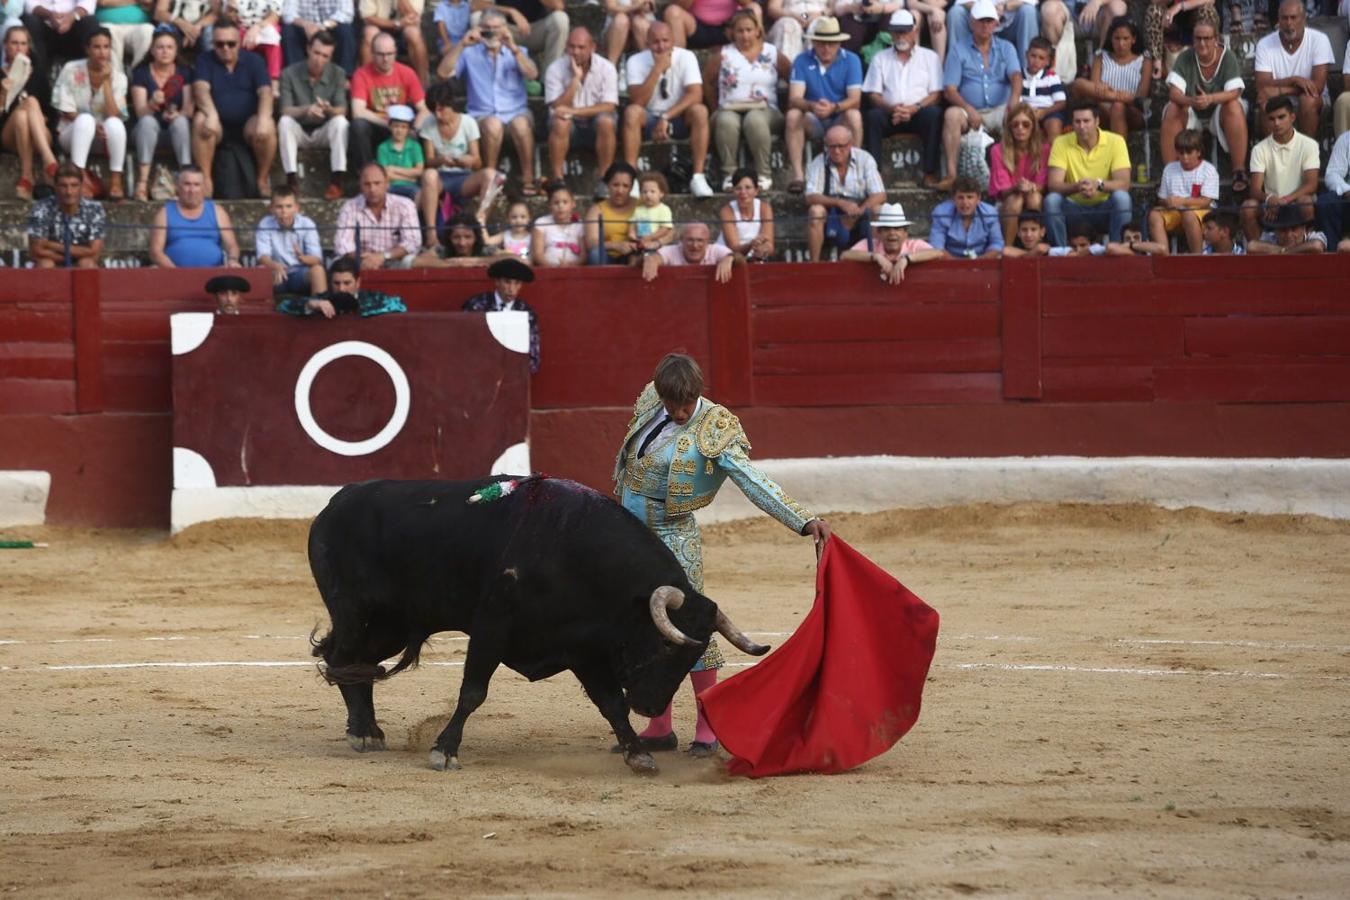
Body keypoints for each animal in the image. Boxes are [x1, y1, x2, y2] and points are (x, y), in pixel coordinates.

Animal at [309, 477, 772, 777]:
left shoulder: (583, 647)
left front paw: (638, 753)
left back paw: (369, 732)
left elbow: (610, 703)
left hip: (390, 625)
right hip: (357, 613)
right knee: (344, 658)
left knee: (355, 665)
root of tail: (333, 506)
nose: (651, 707)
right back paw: (362, 733)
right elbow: (473, 692)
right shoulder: (491, 629)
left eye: (695, 653)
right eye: (667, 647)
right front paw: (444, 750)